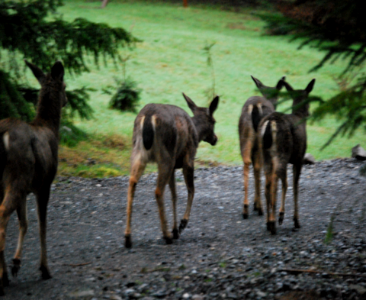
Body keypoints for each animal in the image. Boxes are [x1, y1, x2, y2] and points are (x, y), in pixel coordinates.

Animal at [0, 59, 67, 294]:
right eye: (65, 86)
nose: (66, 100)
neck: (49, 127)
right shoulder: (44, 183)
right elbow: (42, 225)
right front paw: (45, 269)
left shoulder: (27, 189)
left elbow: (24, 222)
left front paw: (17, 262)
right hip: (17, 173)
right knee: (2, 213)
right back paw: (2, 277)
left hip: (13, 180)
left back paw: (5, 272)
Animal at [123, 94, 220, 248]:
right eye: (214, 121)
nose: (215, 138)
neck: (196, 132)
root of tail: (148, 117)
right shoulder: (188, 158)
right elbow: (191, 189)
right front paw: (182, 224)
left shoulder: (174, 166)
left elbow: (174, 195)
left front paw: (175, 229)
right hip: (166, 154)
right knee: (158, 191)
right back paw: (166, 235)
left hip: (138, 151)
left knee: (132, 182)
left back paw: (128, 237)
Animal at [239, 76, 288, 219]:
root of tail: (255, 106)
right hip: (263, 143)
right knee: (260, 167)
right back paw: (260, 207)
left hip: (244, 136)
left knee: (247, 162)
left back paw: (246, 207)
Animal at [256, 78, 316, 236]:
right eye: (308, 99)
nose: (309, 112)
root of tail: (270, 123)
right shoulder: (299, 158)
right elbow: (294, 185)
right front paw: (295, 220)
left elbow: (285, 183)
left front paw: (282, 215)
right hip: (281, 151)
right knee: (274, 182)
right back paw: (273, 223)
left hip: (266, 154)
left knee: (267, 184)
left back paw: (268, 222)